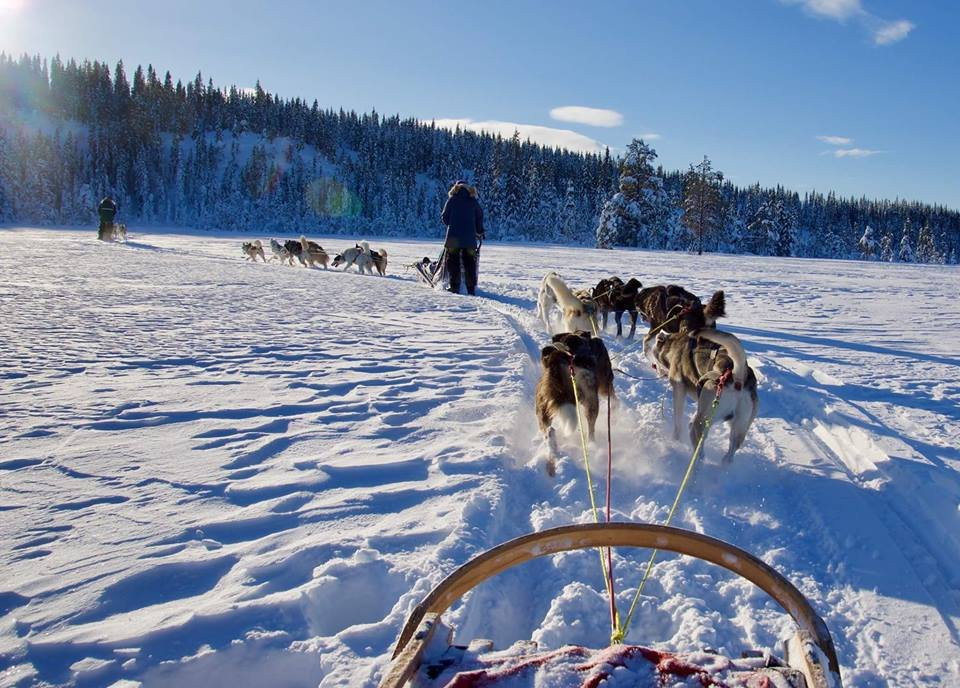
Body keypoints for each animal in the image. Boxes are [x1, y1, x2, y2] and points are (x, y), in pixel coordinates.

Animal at [532, 330, 616, 476]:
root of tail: (557, 359)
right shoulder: (604, 385)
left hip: (542, 407)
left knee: (549, 430)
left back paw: (552, 453)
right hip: (592, 401)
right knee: (591, 428)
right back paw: (592, 446)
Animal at [644, 288, 756, 462]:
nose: (655, 367)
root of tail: (738, 377)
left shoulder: (679, 390)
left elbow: (677, 420)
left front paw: (675, 438)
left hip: (702, 421)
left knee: (699, 447)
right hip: (739, 428)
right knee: (729, 455)